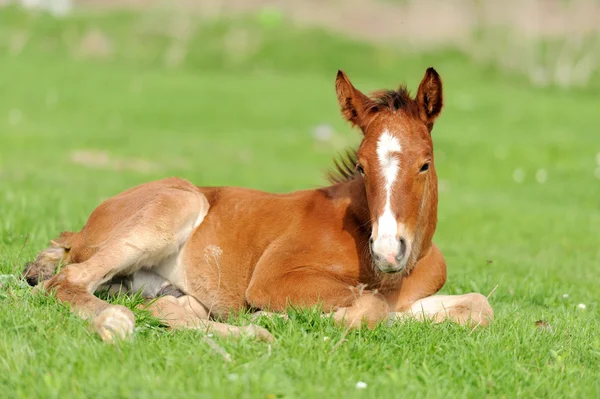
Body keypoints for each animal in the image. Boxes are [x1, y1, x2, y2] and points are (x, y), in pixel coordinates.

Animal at [23, 67, 492, 342]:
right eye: (360, 165)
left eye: (424, 163)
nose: (388, 251)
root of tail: (81, 229)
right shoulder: (272, 280)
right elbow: (372, 306)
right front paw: (279, 318)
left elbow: (479, 307)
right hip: (177, 204)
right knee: (67, 281)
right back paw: (115, 322)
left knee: (165, 305)